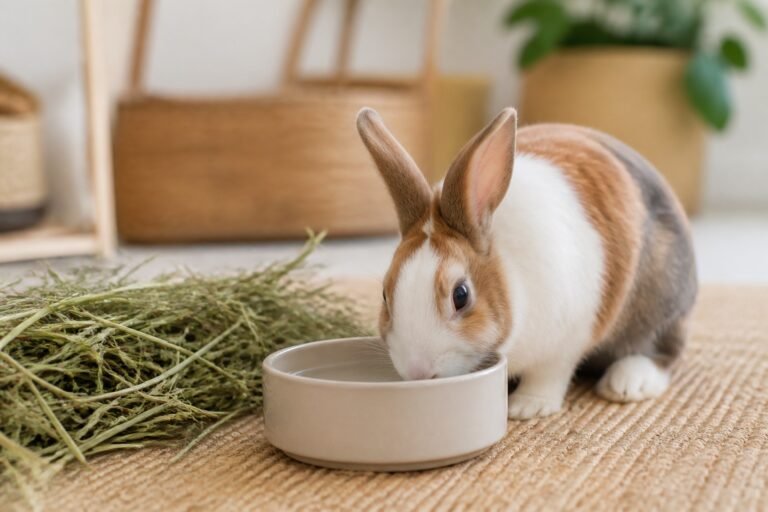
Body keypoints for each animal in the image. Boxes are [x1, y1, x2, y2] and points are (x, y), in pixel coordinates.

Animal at [356, 106, 698, 419]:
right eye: (385, 295)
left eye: (460, 296)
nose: (418, 372)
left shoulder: (568, 337)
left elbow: (550, 374)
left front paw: (526, 407)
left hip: (659, 300)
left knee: (663, 350)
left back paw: (626, 384)